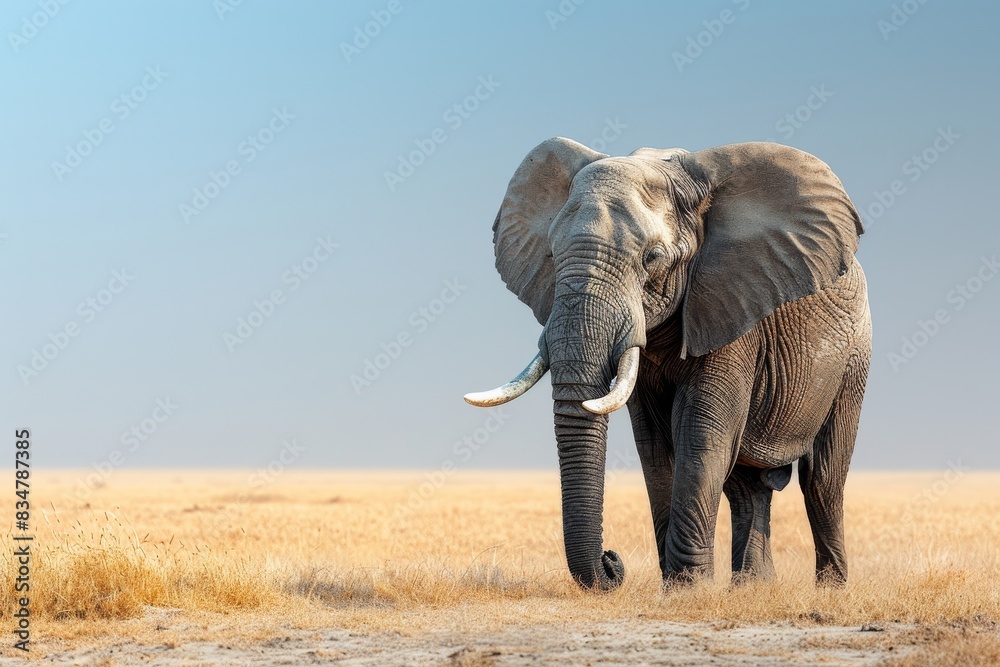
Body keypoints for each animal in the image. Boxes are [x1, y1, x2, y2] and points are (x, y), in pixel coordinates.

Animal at [464, 138, 871, 591]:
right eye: (551, 254)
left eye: (652, 258)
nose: (612, 561)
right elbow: (654, 444)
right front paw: (680, 588)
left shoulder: (730, 306)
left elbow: (700, 431)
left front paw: (689, 590)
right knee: (746, 486)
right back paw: (753, 588)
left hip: (853, 362)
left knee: (822, 479)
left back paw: (830, 589)